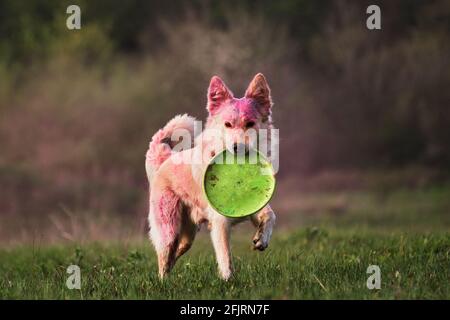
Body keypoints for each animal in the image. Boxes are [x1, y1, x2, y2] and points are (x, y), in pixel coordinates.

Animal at [146, 74, 276, 278]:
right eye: (227, 124)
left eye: (250, 124)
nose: (238, 147)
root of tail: (166, 159)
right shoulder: (220, 221)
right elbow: (225, 256)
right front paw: (228, 280)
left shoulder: (255, 204)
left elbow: (271, 215)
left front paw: (261, 239)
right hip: (169, 229)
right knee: (164, 259)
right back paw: (164, 281)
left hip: (188, 236)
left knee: (176, 253)